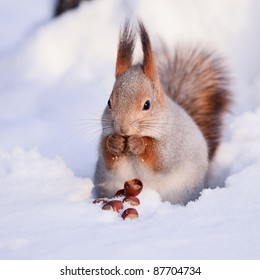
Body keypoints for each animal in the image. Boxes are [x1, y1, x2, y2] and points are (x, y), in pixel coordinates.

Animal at [94, 19, 232, 203]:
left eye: (147, 105)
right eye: (109, 102)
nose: (122, 128)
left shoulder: (173, 144)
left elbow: (159, 160)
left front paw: (138, 143)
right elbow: (108, 158)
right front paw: (114, 143)